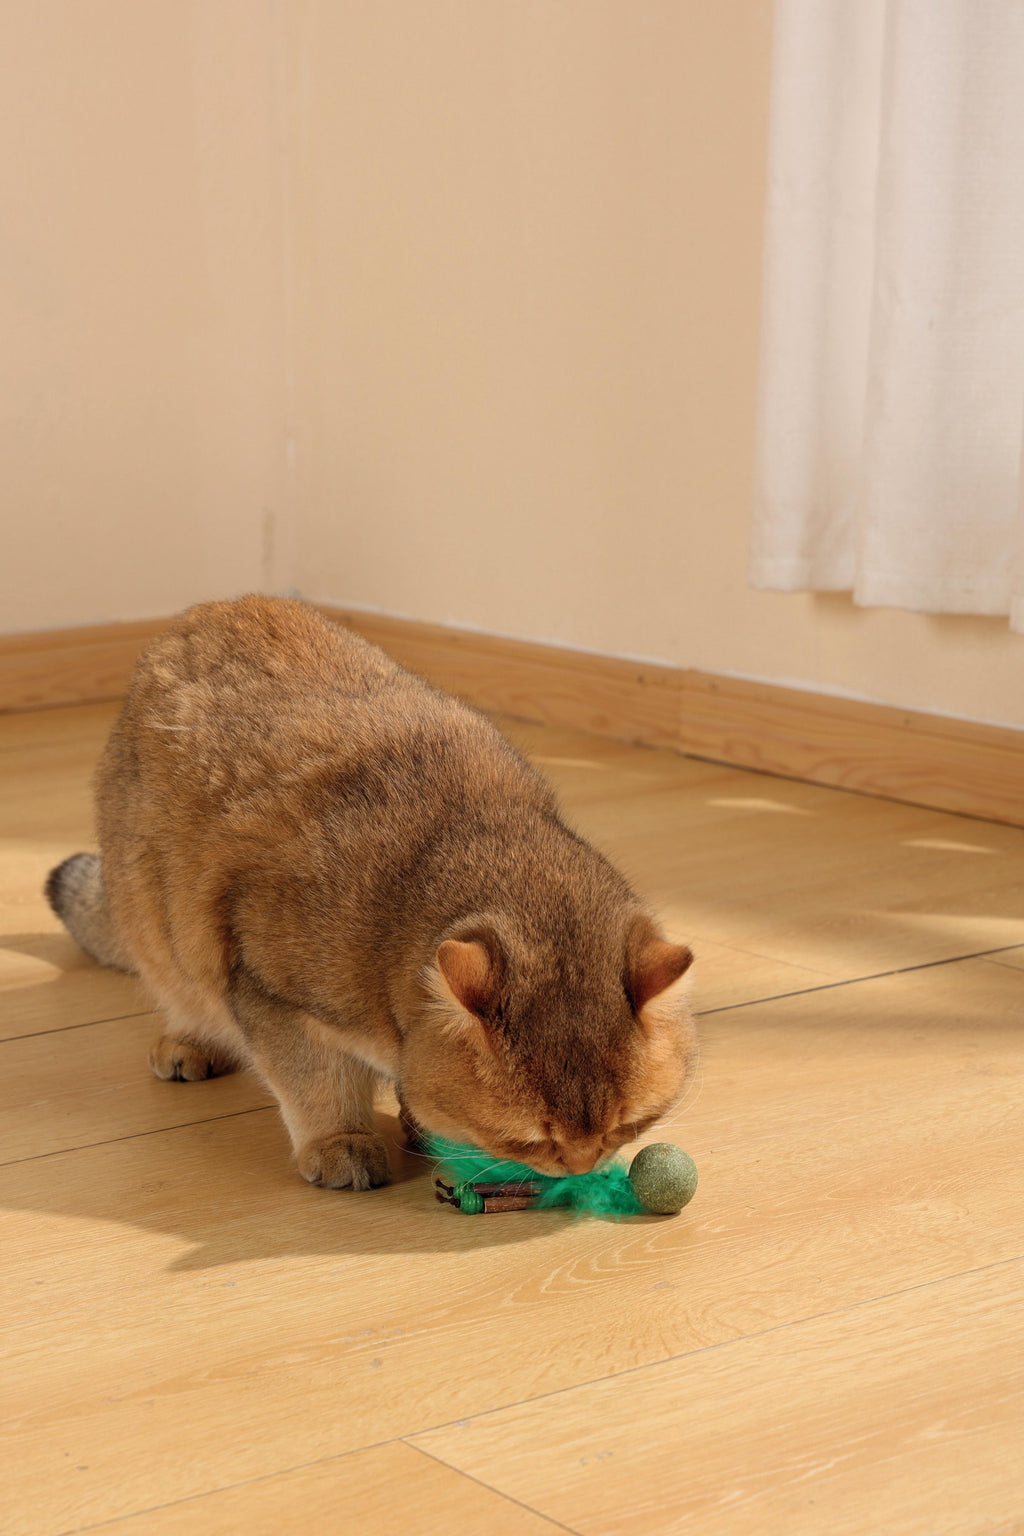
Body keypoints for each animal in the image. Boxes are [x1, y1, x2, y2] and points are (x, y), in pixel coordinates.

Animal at [46, 595, 696, 1185]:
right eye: (532, 1139)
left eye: (626, 1126)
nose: (582, 1168)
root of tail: (201, 613)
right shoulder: (270, 994)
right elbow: (315, 1083)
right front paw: (340, 1143)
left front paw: (419, 1123)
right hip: (153, 921)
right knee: (177, 986)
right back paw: (188, 1043)